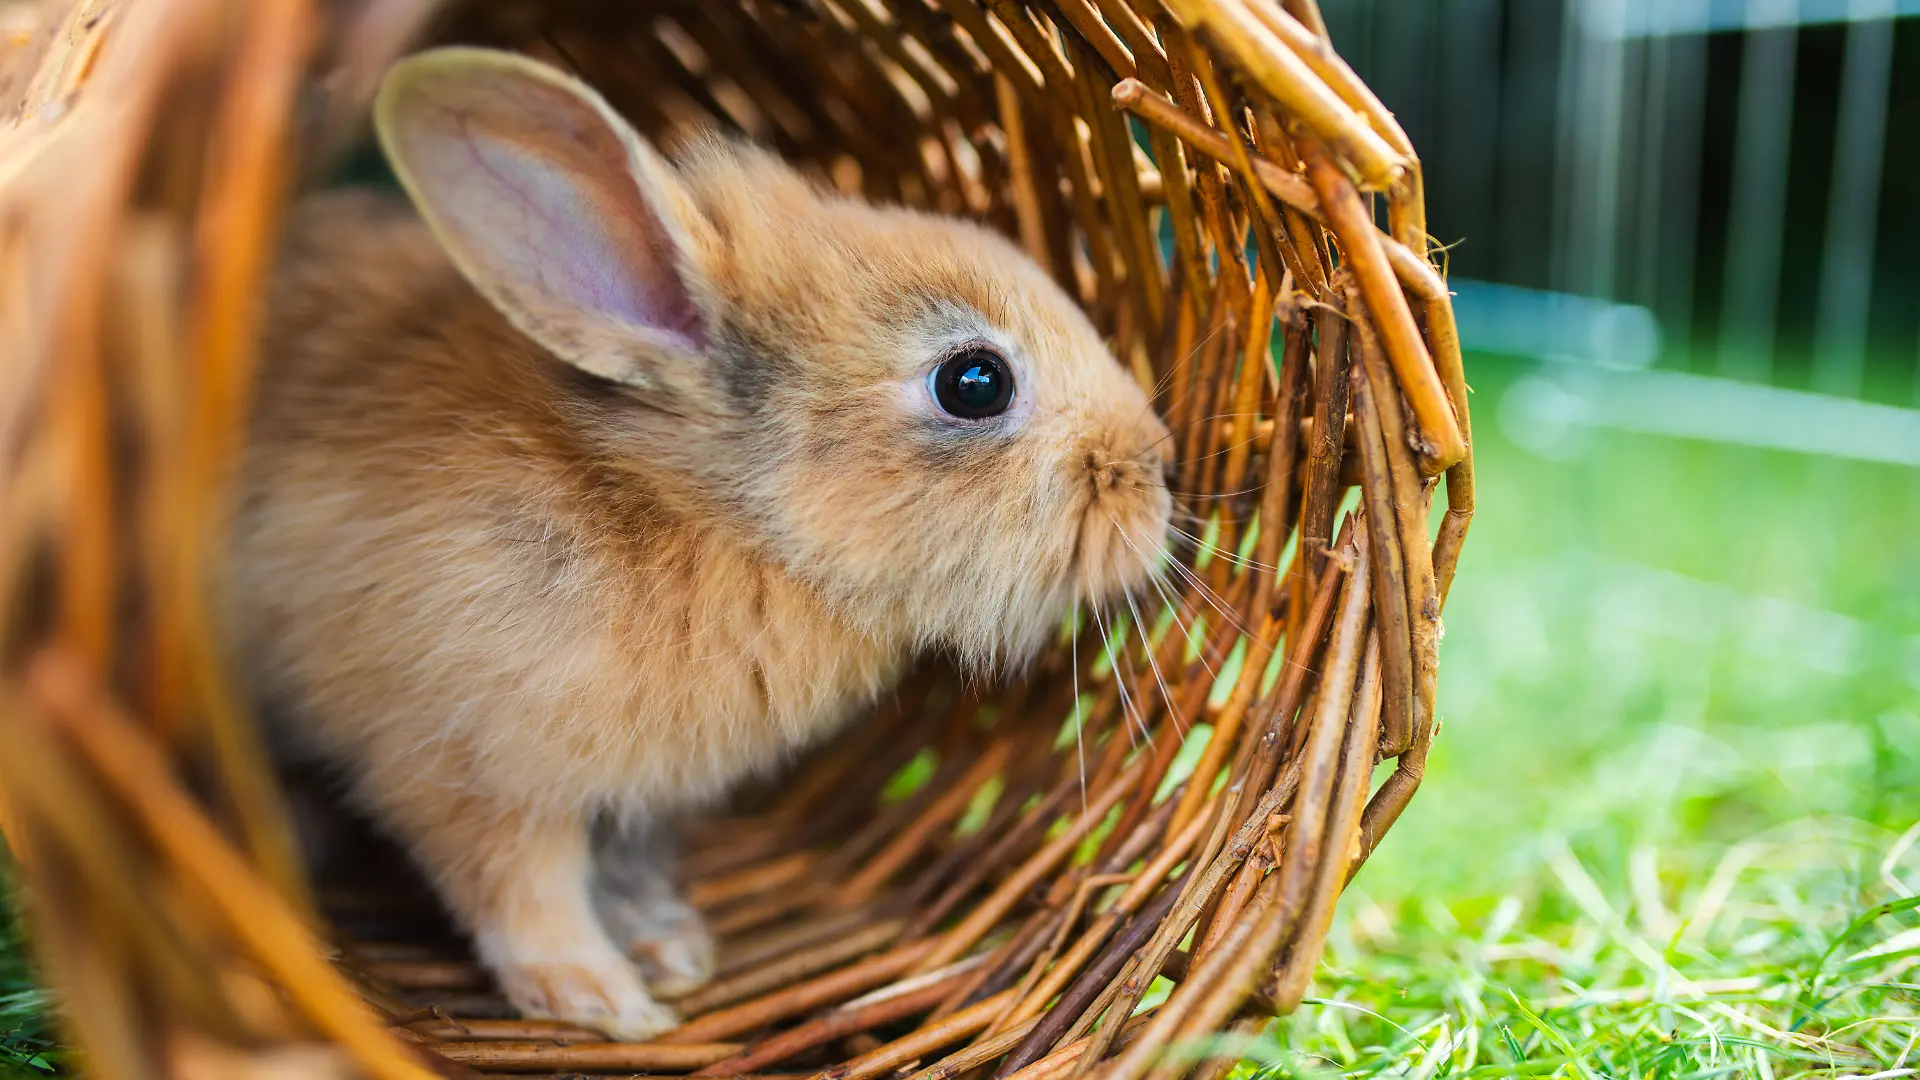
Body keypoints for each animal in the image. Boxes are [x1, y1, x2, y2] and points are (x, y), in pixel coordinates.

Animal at [230, 46, 1173, 1040]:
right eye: (975, 382)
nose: (1159, 469)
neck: (717, 518)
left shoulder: (635, 804)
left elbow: (620, 867)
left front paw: (670, 949)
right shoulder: (468, 768)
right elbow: (520, 886)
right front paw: (599, 997)